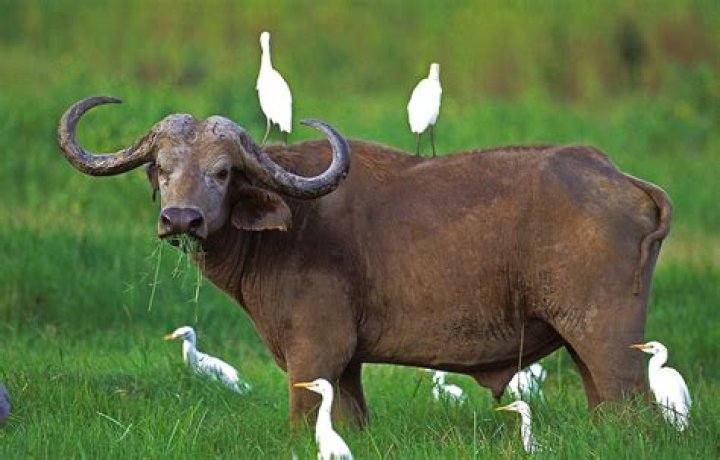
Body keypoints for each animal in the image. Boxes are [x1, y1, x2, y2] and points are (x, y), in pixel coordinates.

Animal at [58, 96, 671, 426]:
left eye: (223, 172)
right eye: (161, 168)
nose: (181, 219)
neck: (290, 225)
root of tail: (618, 177)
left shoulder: (315, 353)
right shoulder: (347, 365)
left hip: (609, 345)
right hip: (581, 350)